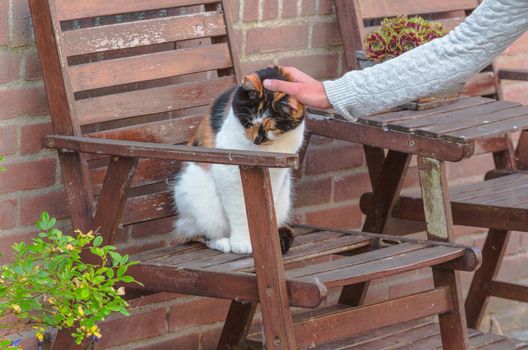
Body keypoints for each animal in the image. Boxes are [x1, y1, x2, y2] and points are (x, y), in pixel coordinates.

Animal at [173, 67, 306, 254]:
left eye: (272, 127)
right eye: (248, 121)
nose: (256, 140)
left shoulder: (276, 174)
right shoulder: (229, 172)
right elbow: (239, 209)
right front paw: (242, 242)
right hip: (198, 197)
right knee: (199, 233)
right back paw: (223, 242)